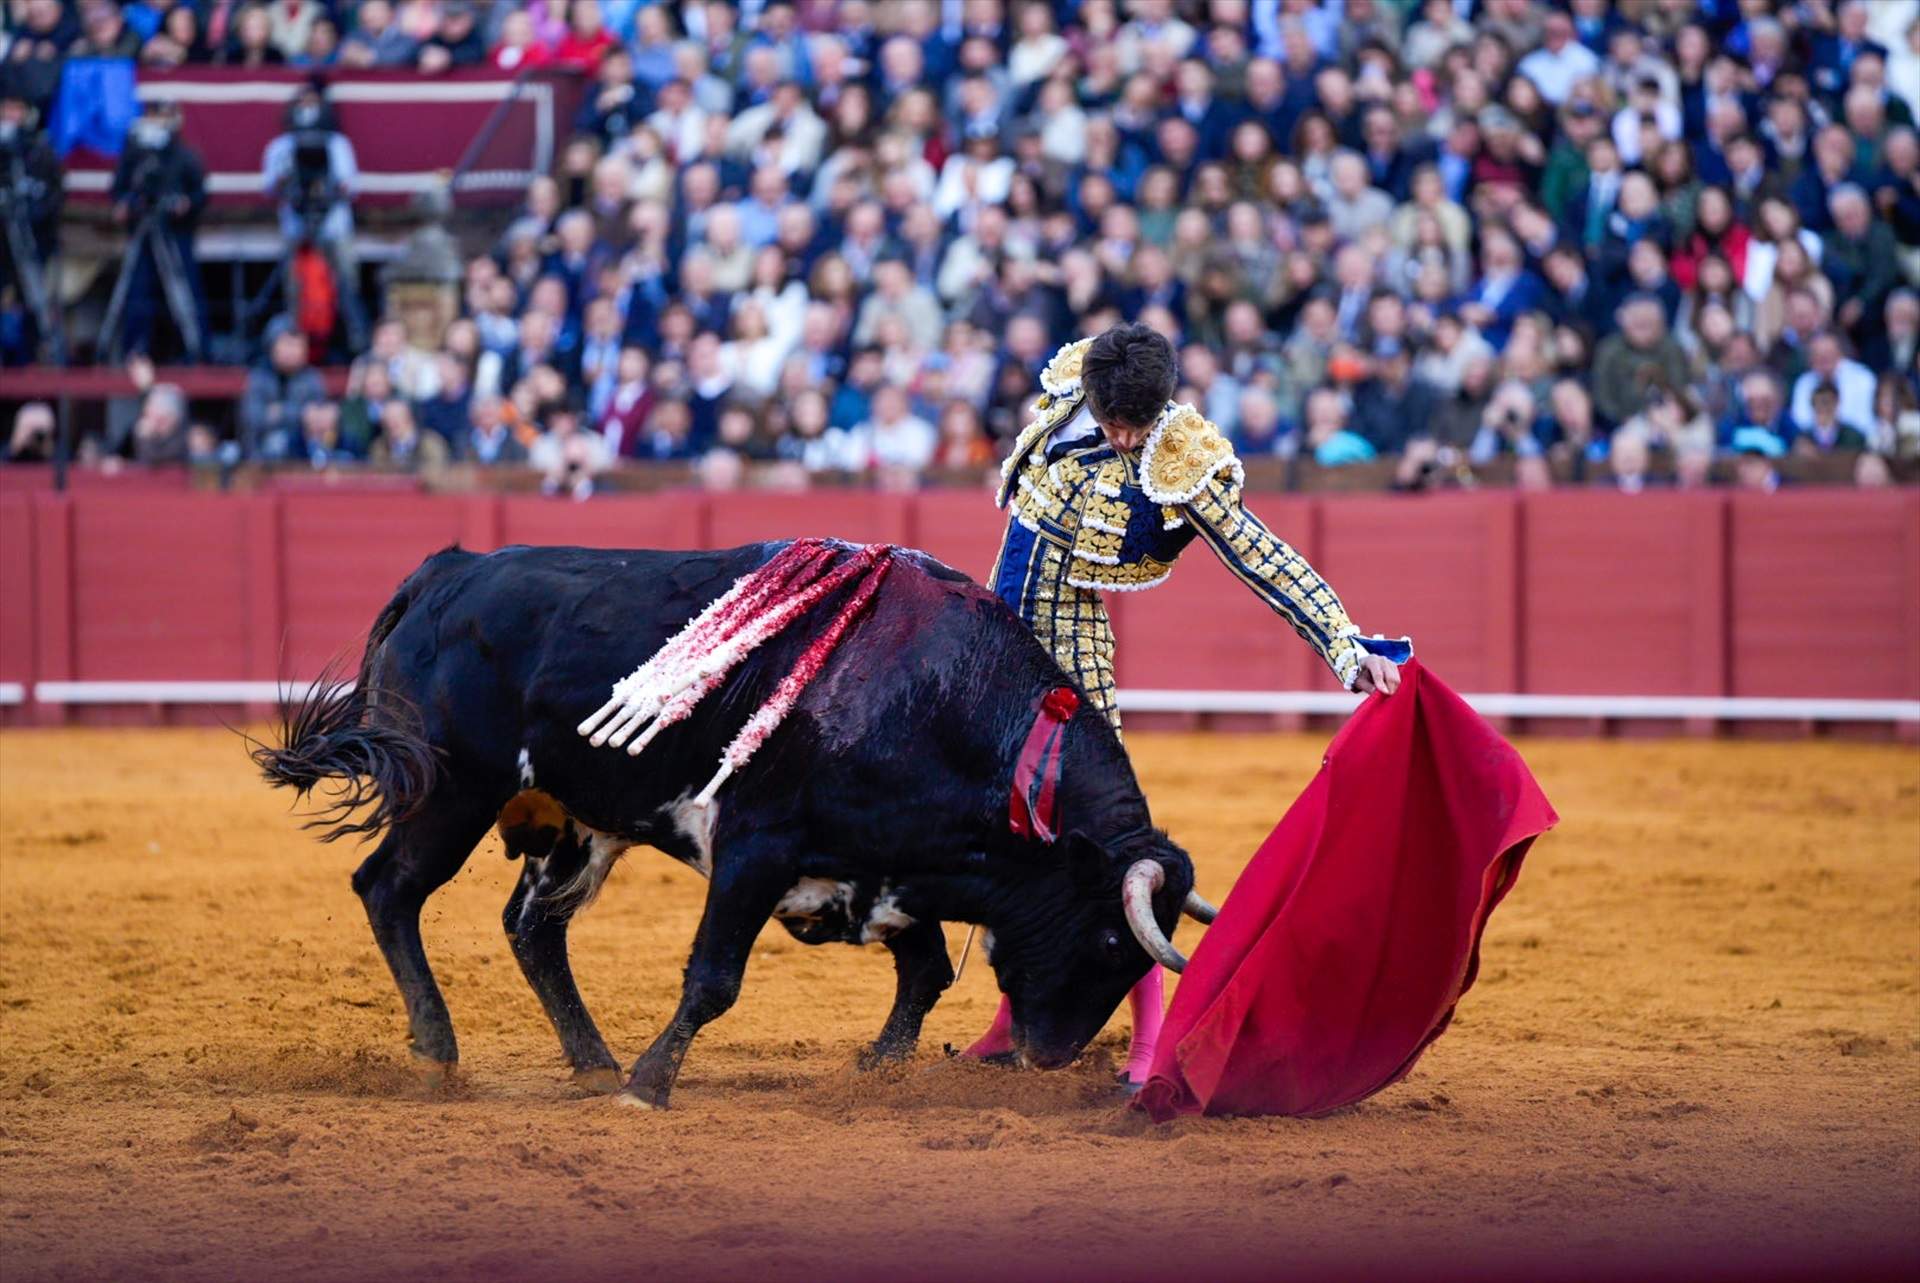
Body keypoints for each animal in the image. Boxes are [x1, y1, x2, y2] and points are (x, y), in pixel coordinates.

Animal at [251, 537, 1182, 1106]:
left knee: (530, 929)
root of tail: (448, 571)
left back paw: (591, 1061)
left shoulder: (885, 871)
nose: (1049, 1054)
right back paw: (441, 1051)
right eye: (1109, 939)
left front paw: (880, 1069)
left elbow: (924, 975)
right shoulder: (754, 850)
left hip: (569, 823)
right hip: (450, 791)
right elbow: (714, 978)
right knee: (388, 888)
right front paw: (651, 1086)